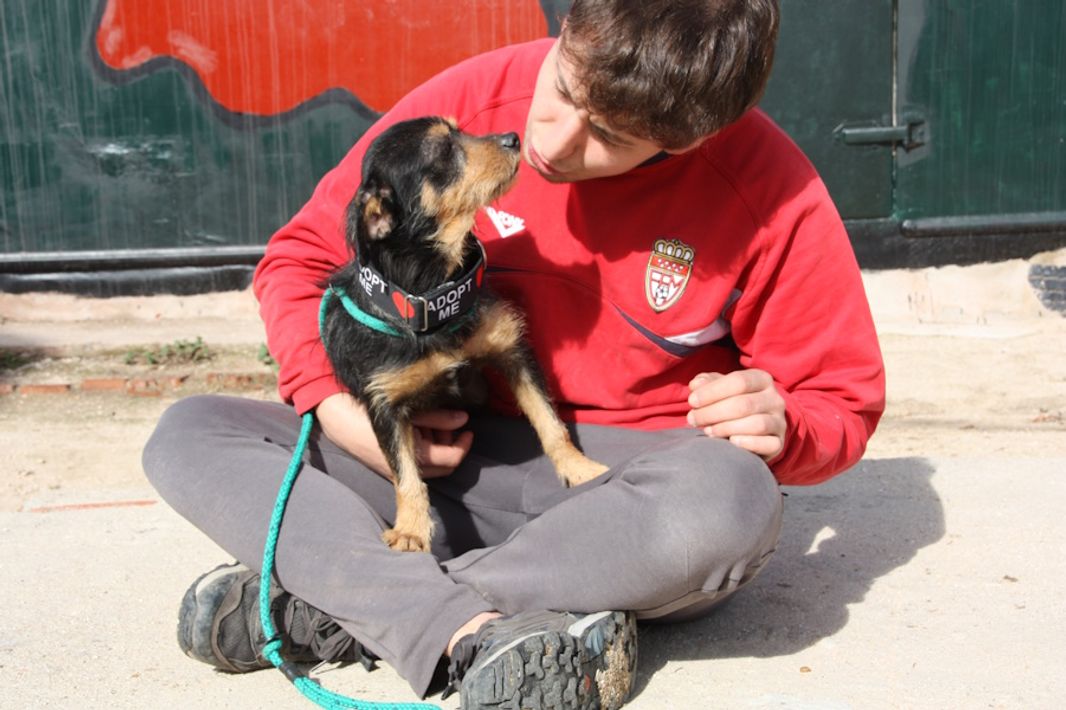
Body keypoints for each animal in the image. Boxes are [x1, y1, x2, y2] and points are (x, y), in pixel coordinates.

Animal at [321, 116, 609, 552]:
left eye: (460, 131)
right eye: (443, 150)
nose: (513, 138)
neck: (432, 298)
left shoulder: (512, 352)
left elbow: (550, 421)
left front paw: (579, 468)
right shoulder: (384, 404)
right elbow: (405, 474)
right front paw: (411, 529)